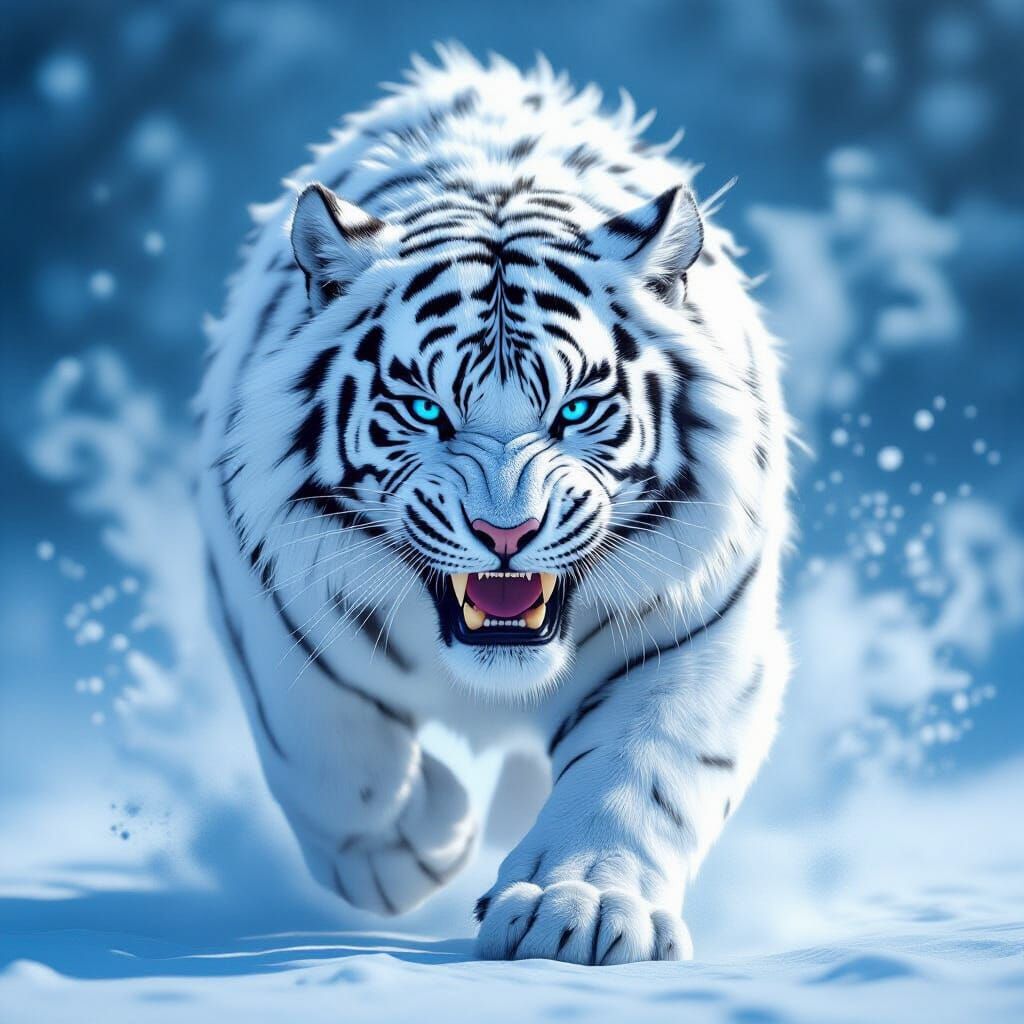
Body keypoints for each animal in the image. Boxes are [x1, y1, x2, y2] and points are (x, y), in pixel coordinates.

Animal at [196, 47, 791, 965]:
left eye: (575, 410)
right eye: (425, 409)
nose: (506, 532)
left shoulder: (704, 631)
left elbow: (636, 774)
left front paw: (578, 909)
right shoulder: (258, 583)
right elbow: (326, 747)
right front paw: (413, 844)